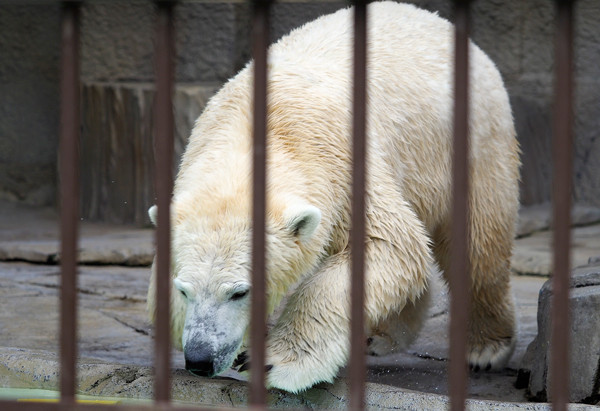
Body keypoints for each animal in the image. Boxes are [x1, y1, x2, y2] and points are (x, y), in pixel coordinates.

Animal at [146, 0, 520, 396]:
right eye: (184, 290)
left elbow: (389, 245)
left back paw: (486, 347)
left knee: (479, 244)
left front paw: (275, 362)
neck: (257, 130)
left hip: (475, 137)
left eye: (240, 292)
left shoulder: (342, 166)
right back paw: (383, 333)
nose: (199, 359)